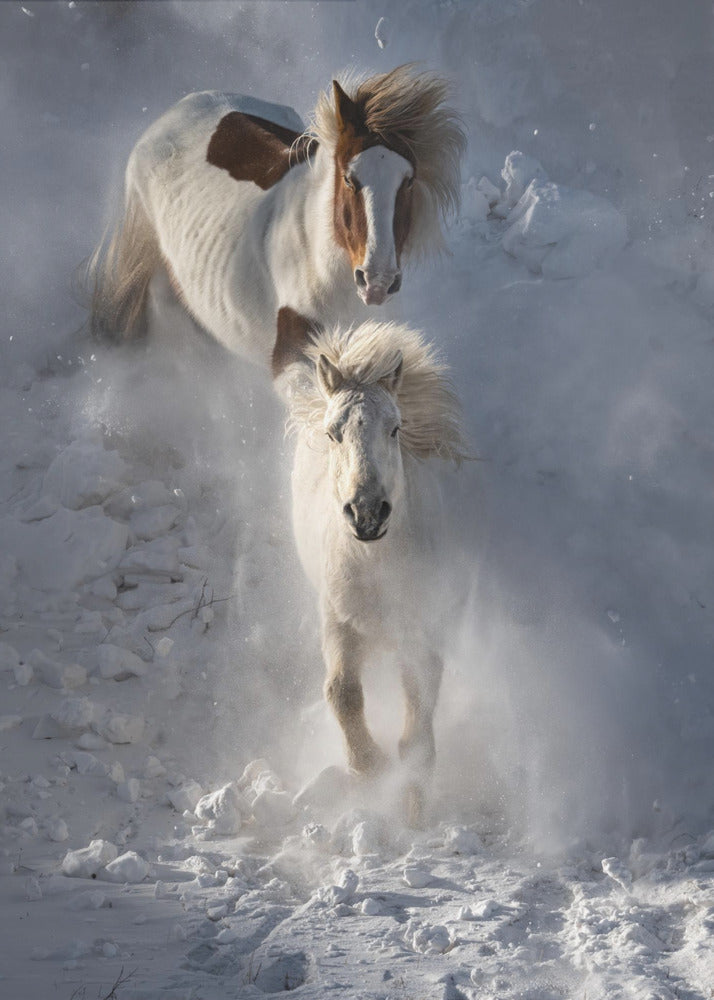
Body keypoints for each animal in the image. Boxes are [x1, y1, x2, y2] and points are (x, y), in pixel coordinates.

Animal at [282, 319, 467, 826]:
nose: (367, 513)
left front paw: (414, 812)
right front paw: (370, 767)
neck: (378, 571)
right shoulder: (338, 622)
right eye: (333, 433)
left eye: (395, 428)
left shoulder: (421, 634)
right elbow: (341, 692)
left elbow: (417, 732)